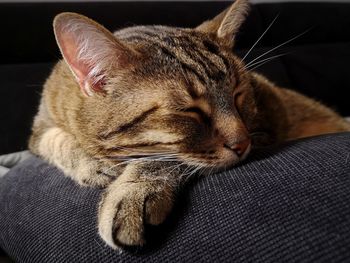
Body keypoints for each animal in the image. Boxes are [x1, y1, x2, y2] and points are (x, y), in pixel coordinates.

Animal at [28, 0, 350, 250]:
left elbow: (167, 158)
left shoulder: (264, 127)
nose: (243, 143)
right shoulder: (38, 127)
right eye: (189, 111)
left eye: (239, 94)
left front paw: (132, 190)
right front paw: (91, 163)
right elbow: (55, 139)